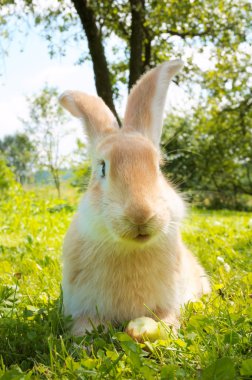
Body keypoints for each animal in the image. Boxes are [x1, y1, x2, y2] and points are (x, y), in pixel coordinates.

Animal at [59, 60, 211, 342]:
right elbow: (84, 326)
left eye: (159, 167)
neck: (131, 249)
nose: (141, 214)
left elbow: (167, 318)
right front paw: (84, 341)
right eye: (102, 168)